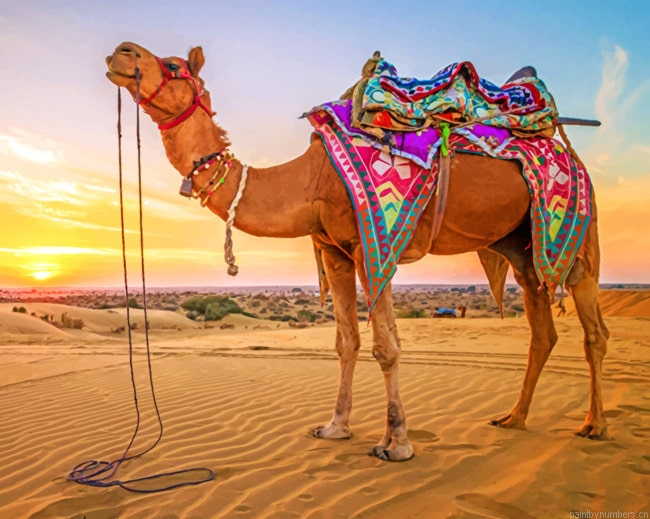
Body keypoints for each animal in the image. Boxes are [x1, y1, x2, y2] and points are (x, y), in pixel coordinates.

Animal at [105, 42, 610, 461]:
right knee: (541, 327)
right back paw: (514, 417)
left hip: (580, 231)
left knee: (592, 328)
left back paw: (594, 425)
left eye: (173, 65)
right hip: (520, 247)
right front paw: (335, 427)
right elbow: (346, 341)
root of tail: (567, 151)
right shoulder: (334, 252)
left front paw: (396, 442)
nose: (121, 52)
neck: (308, 181)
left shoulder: (374, 245)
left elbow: (386, 346)